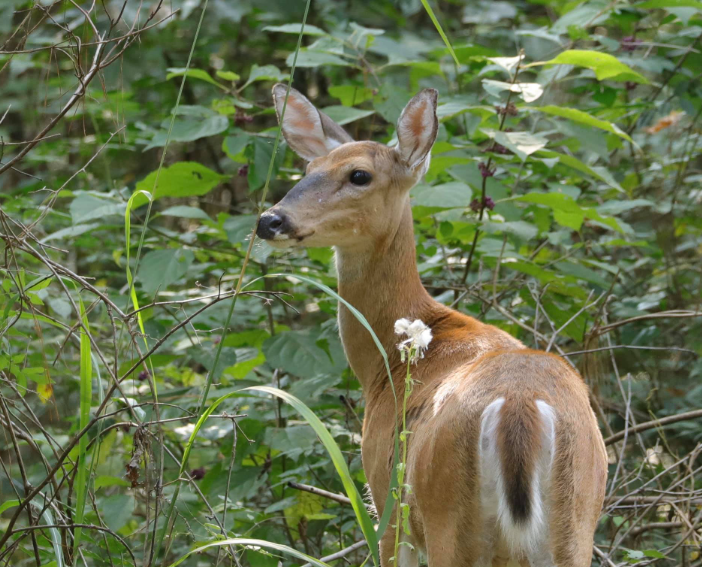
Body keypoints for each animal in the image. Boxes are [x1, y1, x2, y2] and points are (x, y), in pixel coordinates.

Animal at [256, 84, 608, 567]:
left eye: (359, 175)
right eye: (308, 168)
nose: (270, 220)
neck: (386, 360)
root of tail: (519, 410)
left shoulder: (383, 498)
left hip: (446, 515)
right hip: (577, 519)